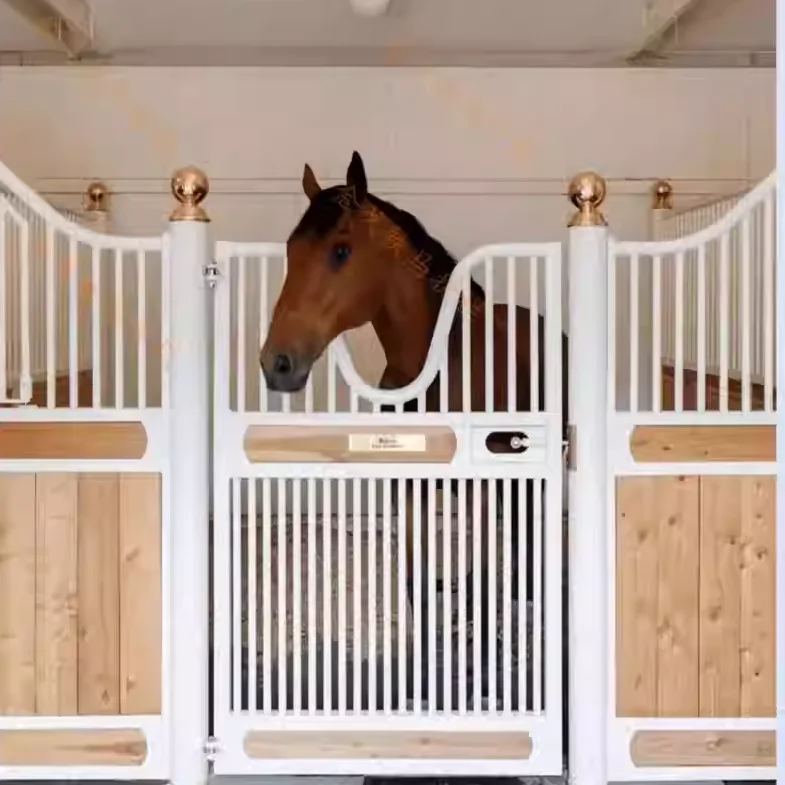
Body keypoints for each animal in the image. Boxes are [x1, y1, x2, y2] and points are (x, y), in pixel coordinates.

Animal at [260, 151, 569, 714]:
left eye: (340, 250)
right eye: (292, 250)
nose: (278, 363)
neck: (437, 365)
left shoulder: (476, 486)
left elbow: (483, 577)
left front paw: (483, 678)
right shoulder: (409, 486)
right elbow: (415, 586)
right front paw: (422, 680)